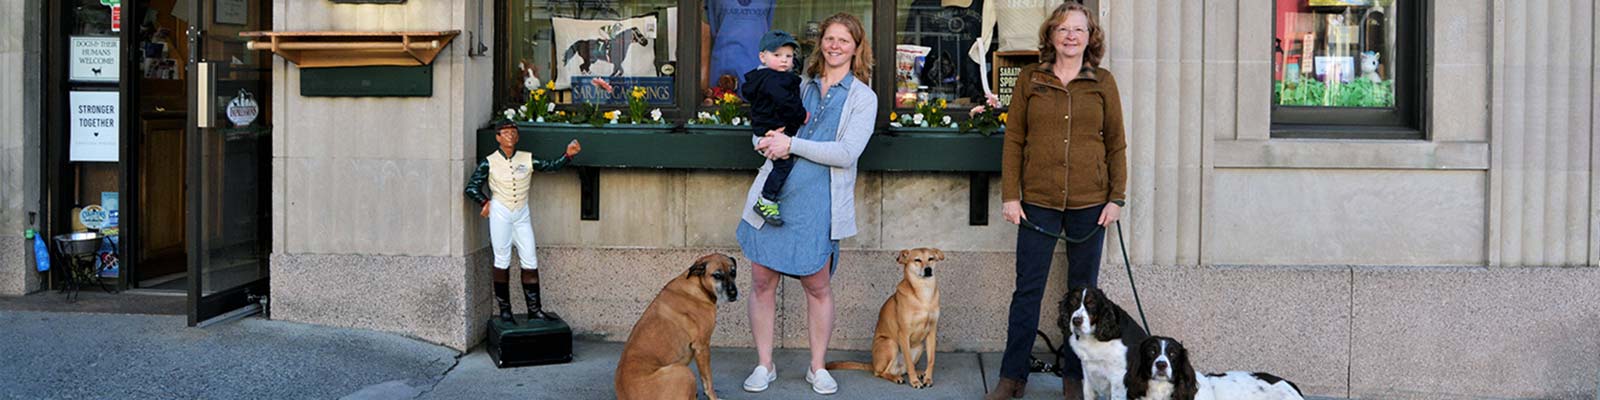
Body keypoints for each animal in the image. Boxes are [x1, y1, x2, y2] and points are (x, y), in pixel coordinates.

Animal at [614, 252, 739, 400]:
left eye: (733, 272)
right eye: (717, 275)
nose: (734, 294)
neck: (698, 286)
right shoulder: (702, 347)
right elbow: (708, 379)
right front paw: (713, 396)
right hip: (683, 371)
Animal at [832, 246, 940, 387]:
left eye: (931, 258)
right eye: (917, 260)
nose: (928, 270)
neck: (923, 294)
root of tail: (873, 364)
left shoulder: (931, 331)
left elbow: (931, 360)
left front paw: (927, 378)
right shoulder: (904, 333)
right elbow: (910, 363)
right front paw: (915, 382)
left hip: (919, 346)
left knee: (905, 368)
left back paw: (918, 373)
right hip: (890, 343)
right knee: (882, 372)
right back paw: (896, 377)